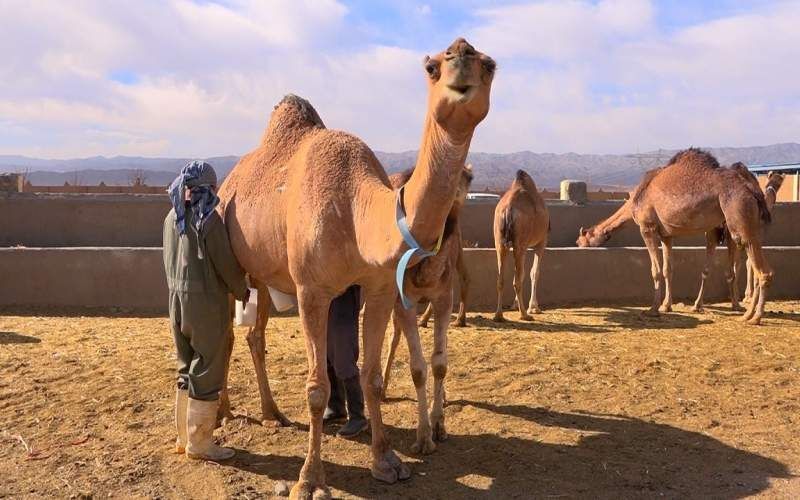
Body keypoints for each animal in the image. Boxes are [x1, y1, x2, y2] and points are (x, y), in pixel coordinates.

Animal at [378, 165, 472, 458]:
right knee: (392, 336)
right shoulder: (403, 299)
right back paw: (382, 388)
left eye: (469, 178)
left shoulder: (444, 297)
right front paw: (422, 438)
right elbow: (417, 368)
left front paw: (439, 425)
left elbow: (439, 362)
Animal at [494, 170, 552, 322]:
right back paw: (525, 314)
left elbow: (523, 273)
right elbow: (534, 272)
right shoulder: (541, 243)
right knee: (516, 281)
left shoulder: (523, 246)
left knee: (501, 279)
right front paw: (534, 307)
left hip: (500, 243)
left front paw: (514, 305)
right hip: (520, 244)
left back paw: (498, 315)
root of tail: (508, 210)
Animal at [620, 148, 772, 324]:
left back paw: (754, 317)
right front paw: (666, 306)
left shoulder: (647, 228)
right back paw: (747, 314)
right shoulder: (666, 235)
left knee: (762, 270)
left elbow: (655, 271)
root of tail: (752, 190)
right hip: (752, 225)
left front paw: (653, 310)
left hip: (739, 218)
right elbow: (667, 269)